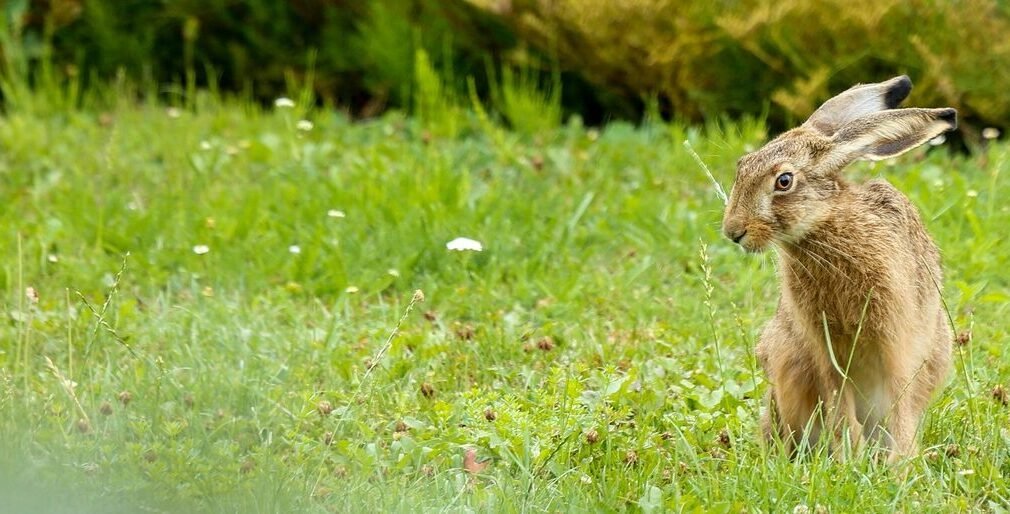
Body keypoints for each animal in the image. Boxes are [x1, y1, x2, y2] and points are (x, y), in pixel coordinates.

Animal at [721, 76, 955, 462]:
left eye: (784, 181)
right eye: (742, 165)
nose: (733, 231)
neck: (825, 227)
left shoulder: (895, 334)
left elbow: (900, 397)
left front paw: (900, 463)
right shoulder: (821, 344)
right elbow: (838, 399)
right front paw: (850, 458)